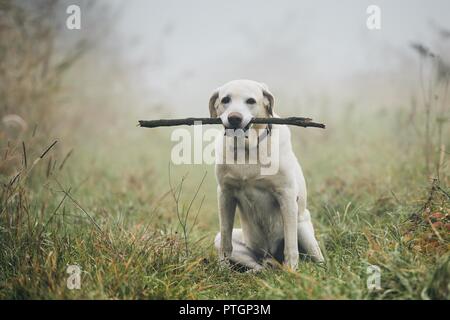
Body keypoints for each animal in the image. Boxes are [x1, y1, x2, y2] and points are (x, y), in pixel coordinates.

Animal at [211, 80, 324, 270]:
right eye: (225, 99)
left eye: (250, 101)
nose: (234, 118)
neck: (248, 148)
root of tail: (269, 257)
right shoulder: (224, 194)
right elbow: (226, 241)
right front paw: (222, 270)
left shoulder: (286, 195)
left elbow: (291, 246)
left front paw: (292, 270)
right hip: (229, 242)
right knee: (259, 266)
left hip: (303, 228)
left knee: (318, 258)